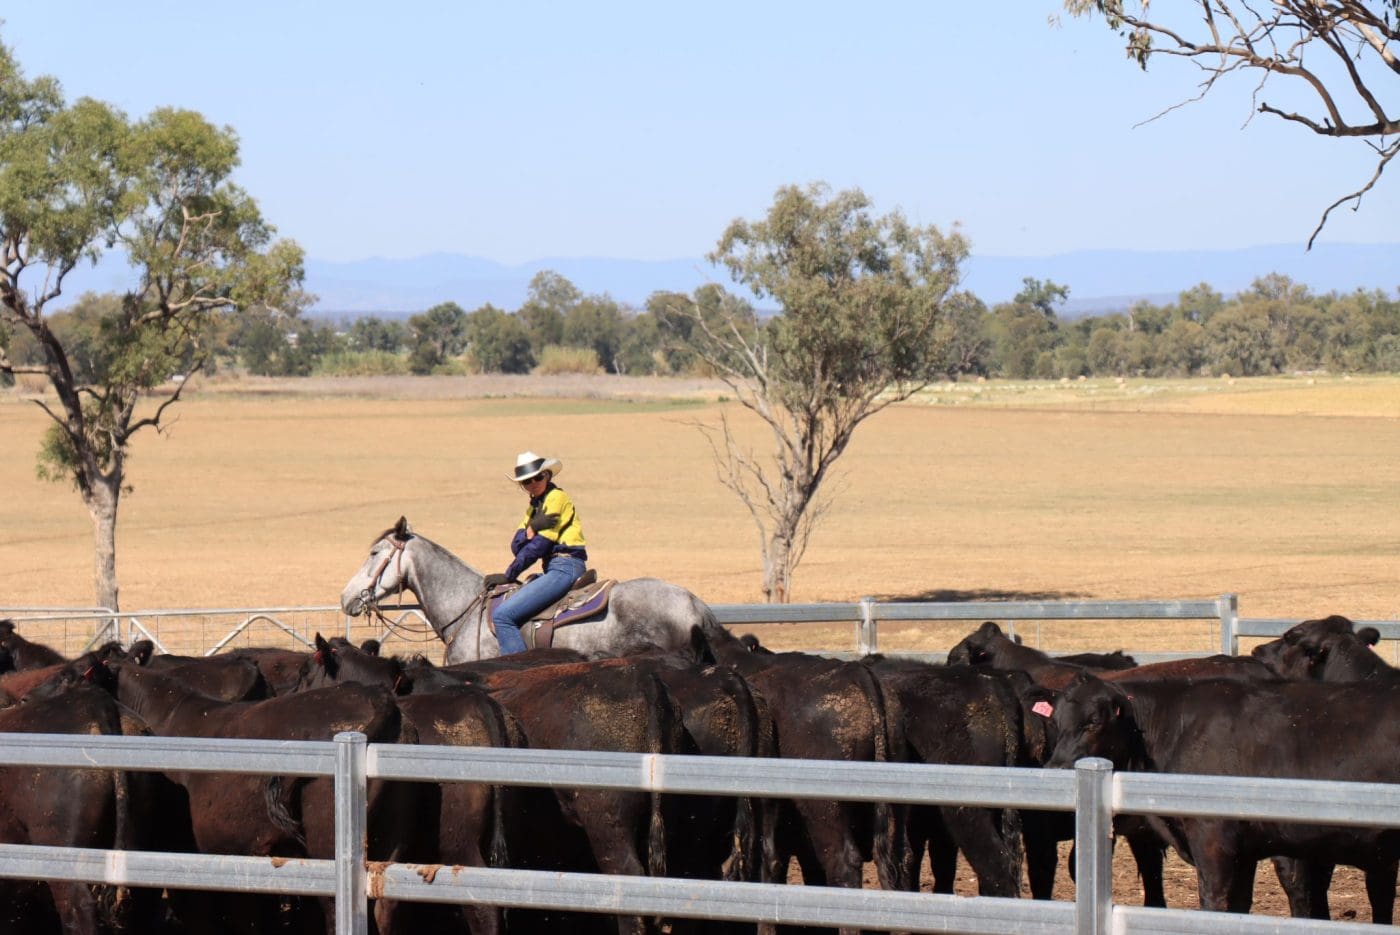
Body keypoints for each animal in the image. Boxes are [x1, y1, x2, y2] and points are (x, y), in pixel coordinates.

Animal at [1047, 671, 1400, 918]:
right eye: (1054, 720)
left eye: (1094, 722)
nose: (1057, 768)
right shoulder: (1246, 850)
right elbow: (1239, 906)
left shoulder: (1212, 839)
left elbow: (1214, 902)